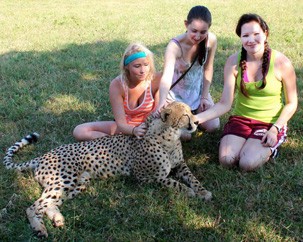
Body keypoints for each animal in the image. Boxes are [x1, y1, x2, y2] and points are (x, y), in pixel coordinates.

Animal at [2, 100, 211, 238]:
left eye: (191, 112)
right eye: (185, 115)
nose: (197, 122)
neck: (169, 135)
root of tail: (44, 155)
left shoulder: (180, 165)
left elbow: (192, 177)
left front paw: (203, 191)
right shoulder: (145, 177)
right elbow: (174, 182)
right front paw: (189, 192)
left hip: (79, 183)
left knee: (49, 203)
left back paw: (57, 219)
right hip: (63, 180)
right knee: (33, 206)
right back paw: (40, 229)